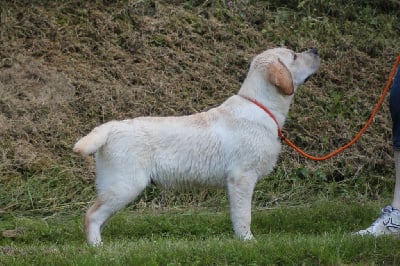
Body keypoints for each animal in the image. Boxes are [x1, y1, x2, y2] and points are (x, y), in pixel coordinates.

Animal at [73, 46, 320, 244]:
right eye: (294, 56)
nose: (315, 50)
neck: (260, 105)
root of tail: (111, 126)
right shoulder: (242, 178)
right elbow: (243, 215)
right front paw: (247, 240)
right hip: (125, 185)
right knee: (91, 215)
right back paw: (97, 247)